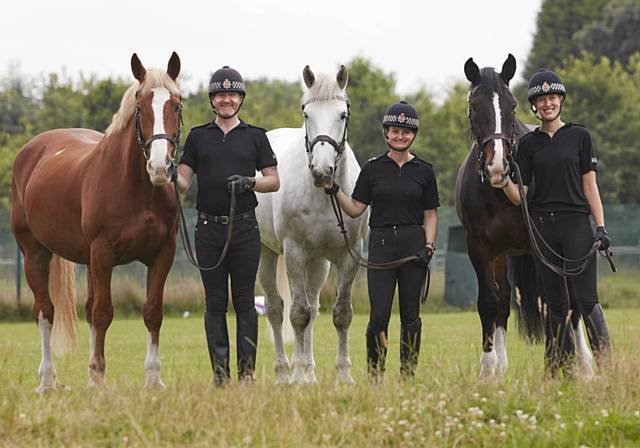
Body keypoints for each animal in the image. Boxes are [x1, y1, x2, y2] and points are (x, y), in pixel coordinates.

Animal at [11, 51, 184, 388]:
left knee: (87, 310)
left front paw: (153, 379)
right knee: (45, 311)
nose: (160, 167)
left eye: (177, 104)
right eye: (140, 107)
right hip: (35, 253)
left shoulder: (162, 254)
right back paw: (47, 380)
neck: (136, 187)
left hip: (87, 261)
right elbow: (104, 313)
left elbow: (152, 311)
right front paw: (99, 380)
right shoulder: (103, 253)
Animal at [254, 65, 364, 384]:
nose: (322, 171)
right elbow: (297, 314)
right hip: (268, 253)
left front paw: (344, 377)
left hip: (318, 263)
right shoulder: (294, 252)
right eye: (306, 113)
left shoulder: (348, 255)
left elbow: (341, 314)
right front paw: (298, 378)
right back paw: (286, 373)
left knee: (313, 309)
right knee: (276, 309)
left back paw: (309, 372)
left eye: (343, 114)